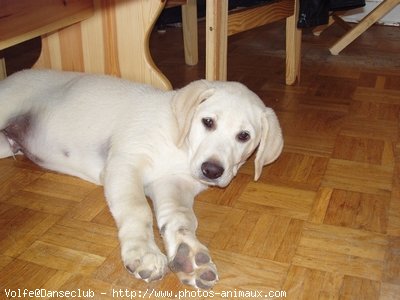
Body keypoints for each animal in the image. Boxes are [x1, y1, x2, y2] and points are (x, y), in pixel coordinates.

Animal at [0, 69, 282, 290]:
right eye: (208, 122)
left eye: (244, 136)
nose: (212, 171)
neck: (181, 145)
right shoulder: (124, 163)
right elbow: (138, 209)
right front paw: (144, 253)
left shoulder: (172, 184)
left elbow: (180, 218)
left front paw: (189, 257)